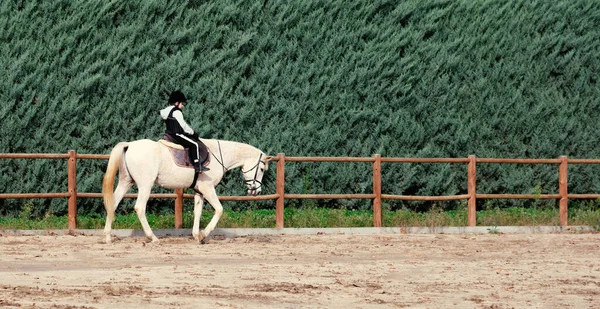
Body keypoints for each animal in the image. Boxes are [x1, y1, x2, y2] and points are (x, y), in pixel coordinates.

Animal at [103, 138, 270, 243]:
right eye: (262, 169)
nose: (256, 191)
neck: (218, 155)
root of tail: (129, 145)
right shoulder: (207, 188)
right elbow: (219, 209)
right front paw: (203, 234)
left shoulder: (199, 191)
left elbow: (198, 212)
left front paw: (196, 235)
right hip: (145, 185)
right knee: (140, 208)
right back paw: (153, 237)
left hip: (126, 182)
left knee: (113, 204)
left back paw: (107, 237)